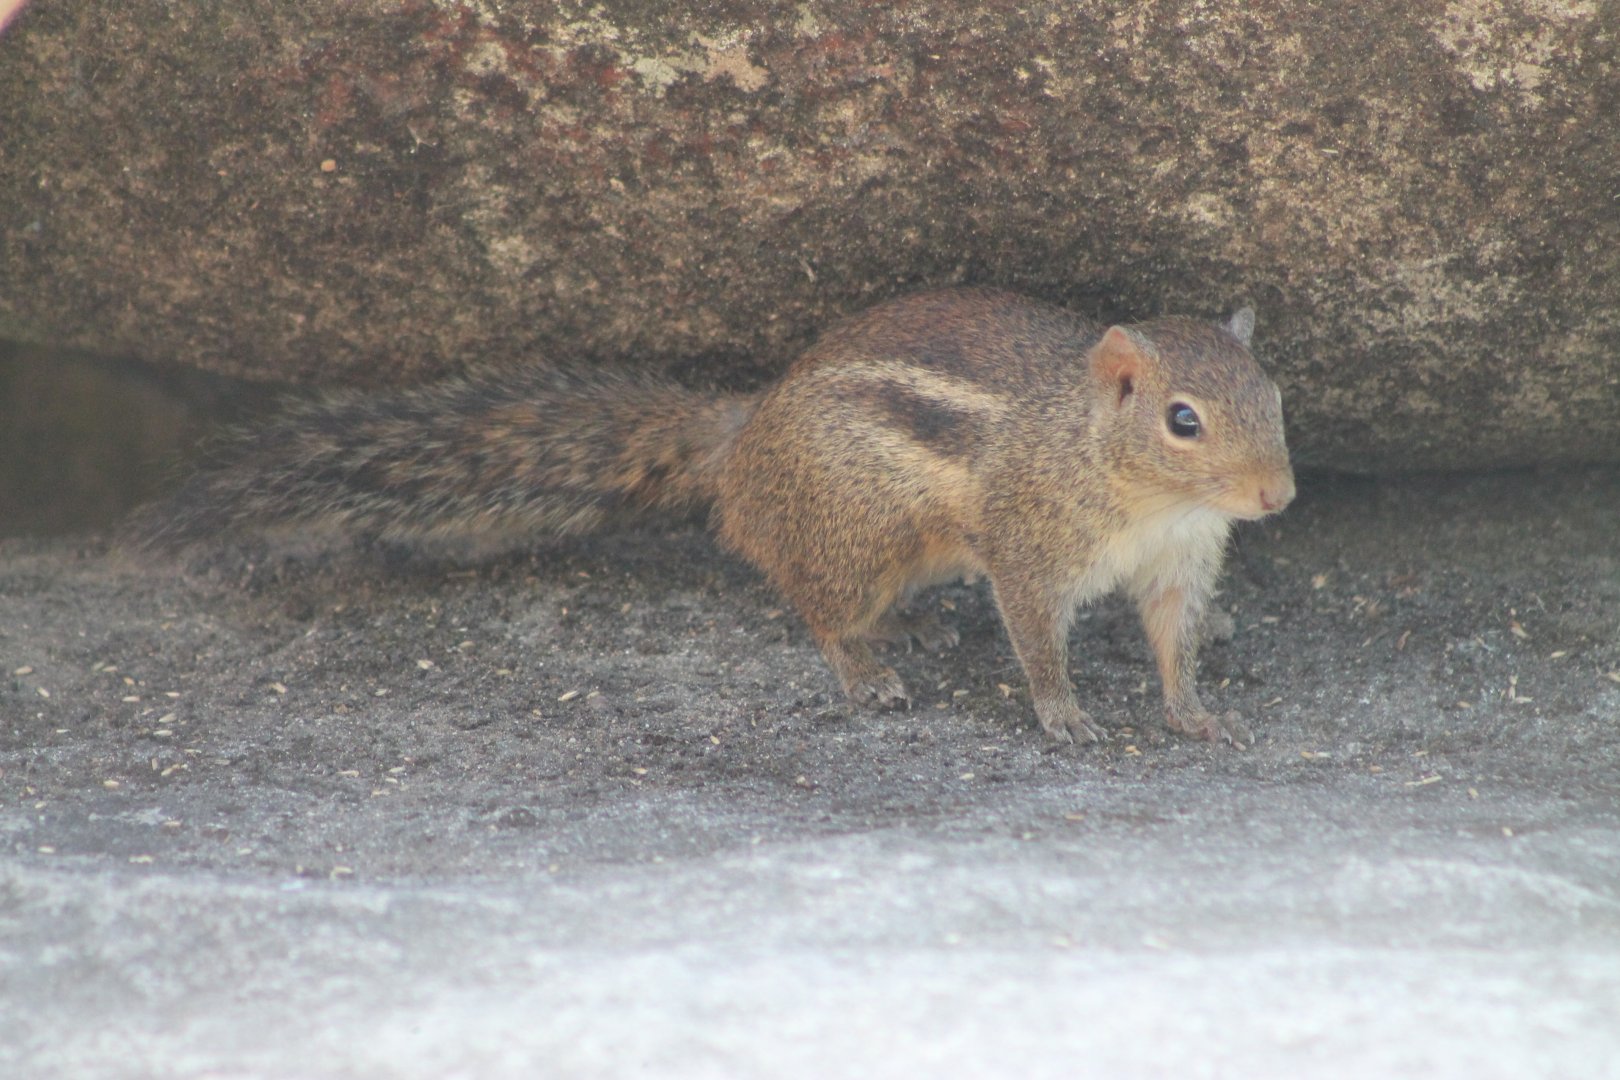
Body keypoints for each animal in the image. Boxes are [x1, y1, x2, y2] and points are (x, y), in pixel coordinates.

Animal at [133, 287, 1295, 747]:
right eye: (1184, 419)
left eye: (1275, 393)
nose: (1279, 497)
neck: (1139, 491)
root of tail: (741, 446)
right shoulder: (1030, 547)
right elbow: (1038, 639)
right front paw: (1064, 715)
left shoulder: (1179, 565)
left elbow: (1175, 643)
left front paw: (1197, 714)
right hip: (860, 534)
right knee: (817, 607)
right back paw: (868, 669)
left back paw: (911, 627)